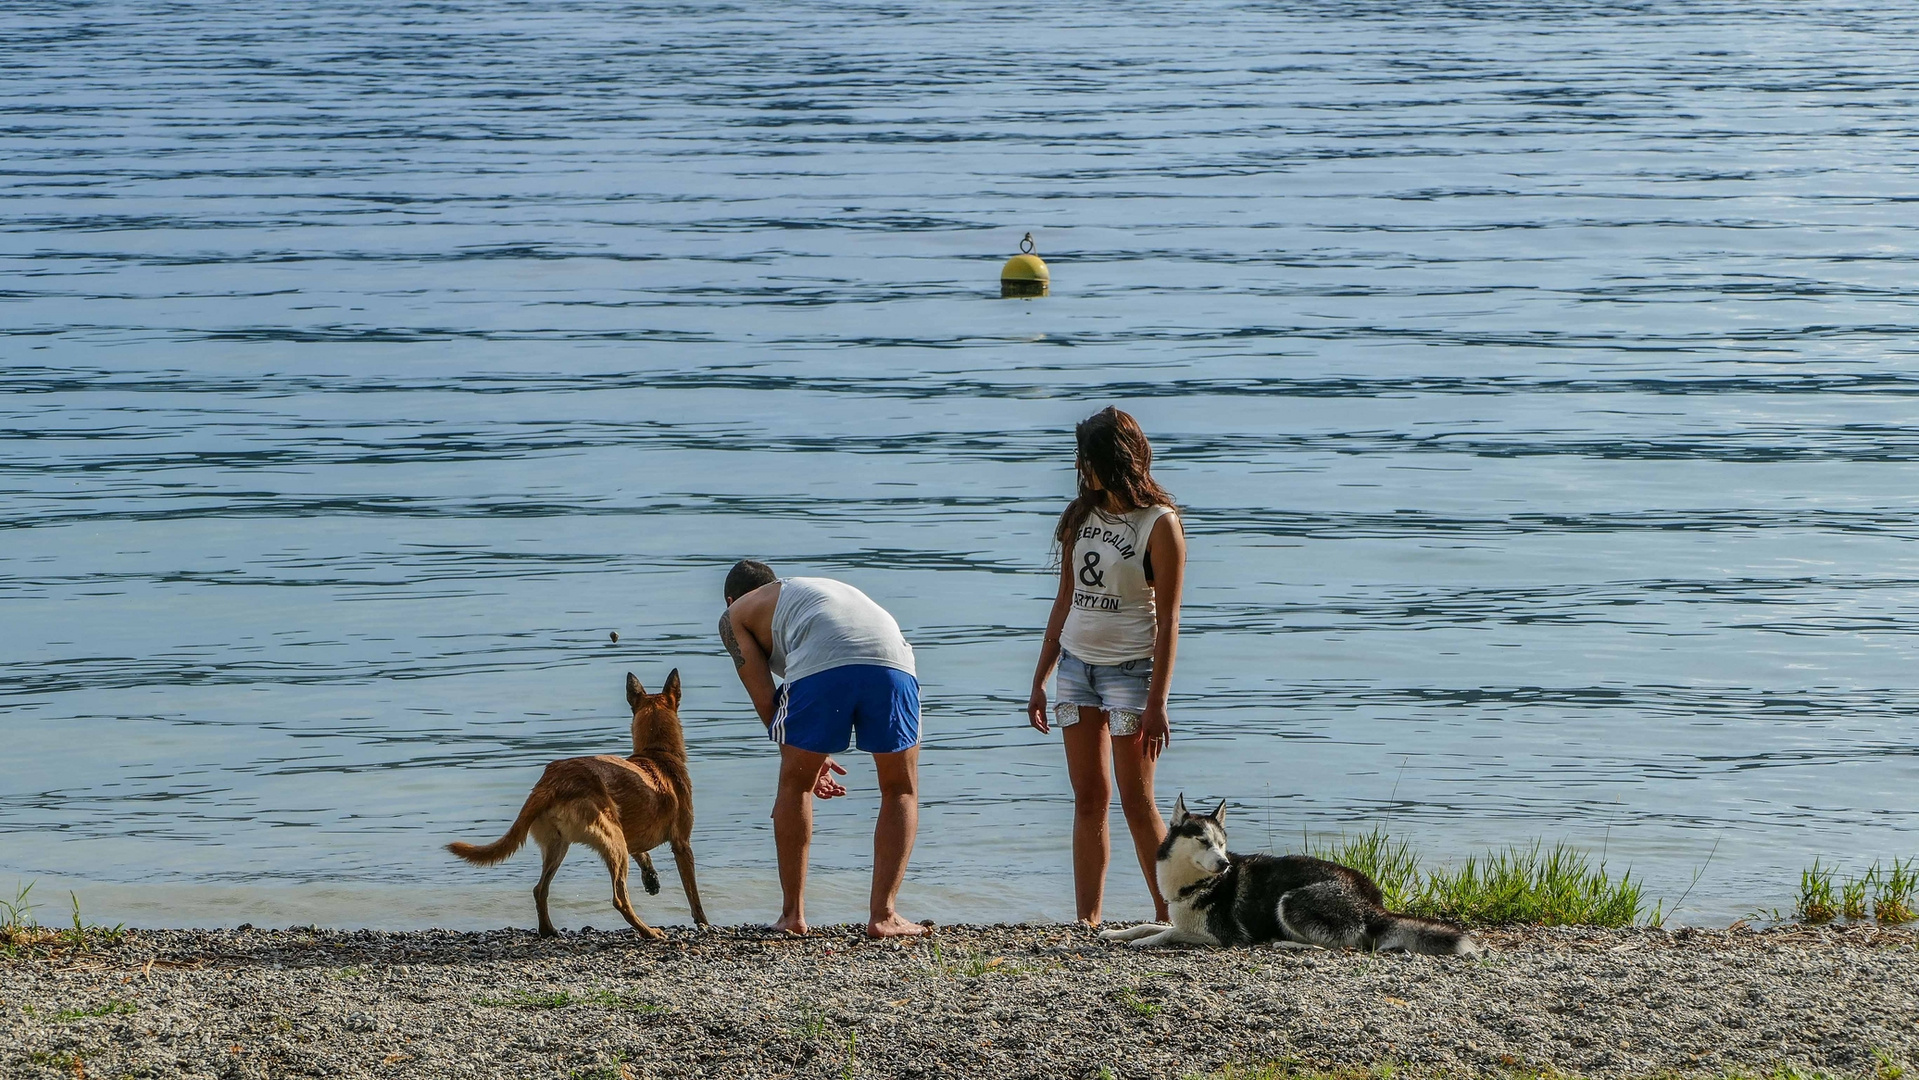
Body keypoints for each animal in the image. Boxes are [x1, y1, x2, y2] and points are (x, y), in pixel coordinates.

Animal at [450, 667, 713, 939]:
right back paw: (648, 931)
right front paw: (703, 922)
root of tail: (551, 783)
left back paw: (548, 930)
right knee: (619, 898)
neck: (656, 753)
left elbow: (643, 854)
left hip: (559, 846)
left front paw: (651, 879)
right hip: (614, 842)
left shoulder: (632, 836)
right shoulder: (681, 845)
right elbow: (693, 894)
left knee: (540, 889)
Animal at [1097, 794, 1481, 955]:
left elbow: (1167, 933)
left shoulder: (1221, 937)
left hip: (1291, 900)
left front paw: (1142, 942)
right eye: (1204, 842)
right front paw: (1119, 933)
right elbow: (1152, 925)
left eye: (1222, 844)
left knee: (1339, 945)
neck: (1197, 884)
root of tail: (1372, 905)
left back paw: (1285, 942)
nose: (1225, 864)